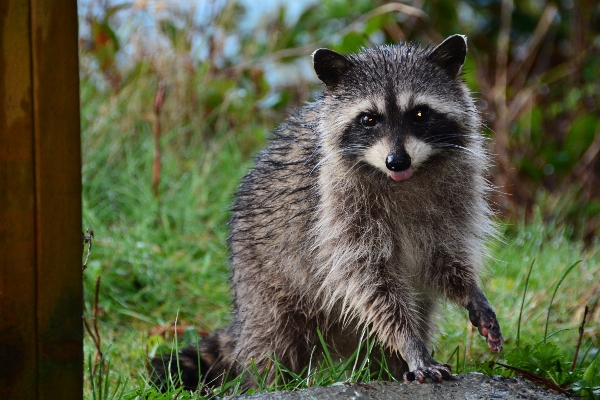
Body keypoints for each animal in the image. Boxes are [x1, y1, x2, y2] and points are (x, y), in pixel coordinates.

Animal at [149, 34, 502, 390]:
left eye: (419, 114)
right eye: (368, 119)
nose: (397, 161)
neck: (404, 179)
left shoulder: (454, 199)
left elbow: (444, 257)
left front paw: (470, 292)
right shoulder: (338, 213)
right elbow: (371, 284)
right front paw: (410, 343)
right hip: (264, 284)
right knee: (271, 343)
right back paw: (265, 381)